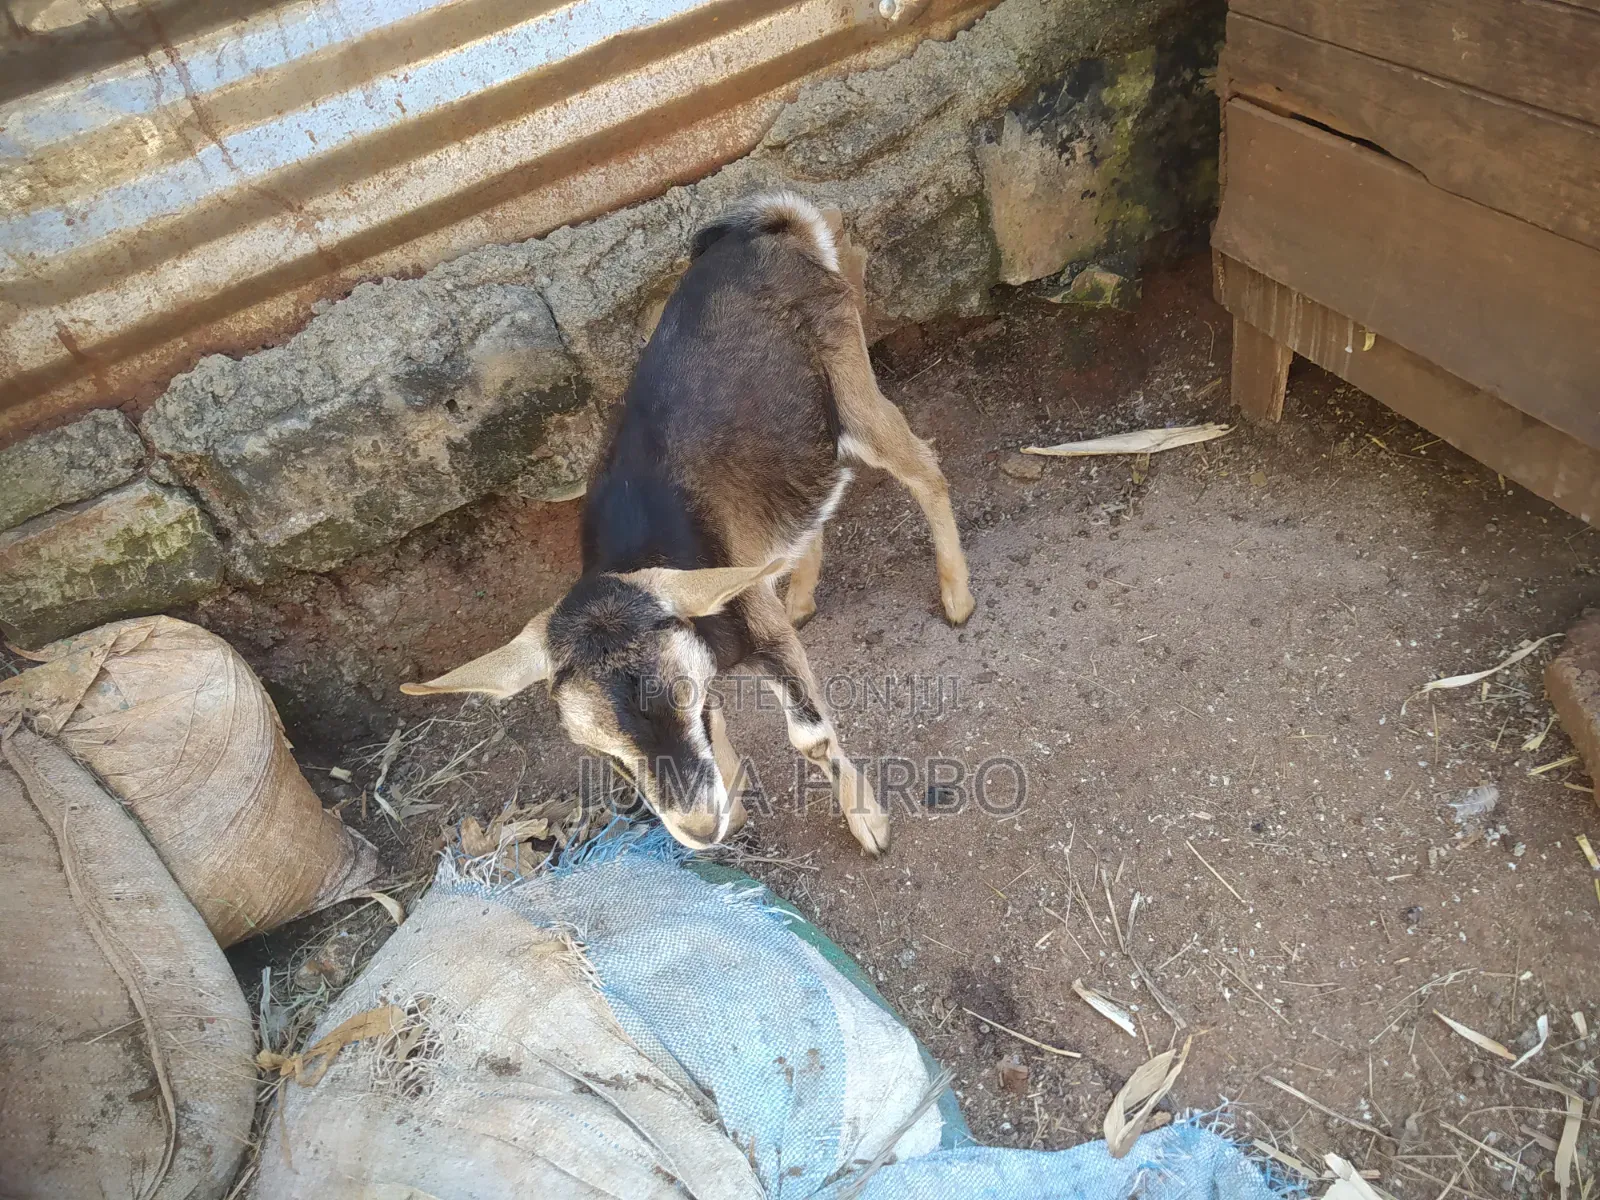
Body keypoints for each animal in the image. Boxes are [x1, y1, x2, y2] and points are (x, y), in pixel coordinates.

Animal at [401, 194, 975, 855]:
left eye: (683, 702)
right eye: (608, 753)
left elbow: (810, 736)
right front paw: (735, 807)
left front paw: (869, 825)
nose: (699, 826)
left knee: (921, 467)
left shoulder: (759, 625)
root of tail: (768, 228)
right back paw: (801, 593)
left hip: (851, 377)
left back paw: (957, 596)